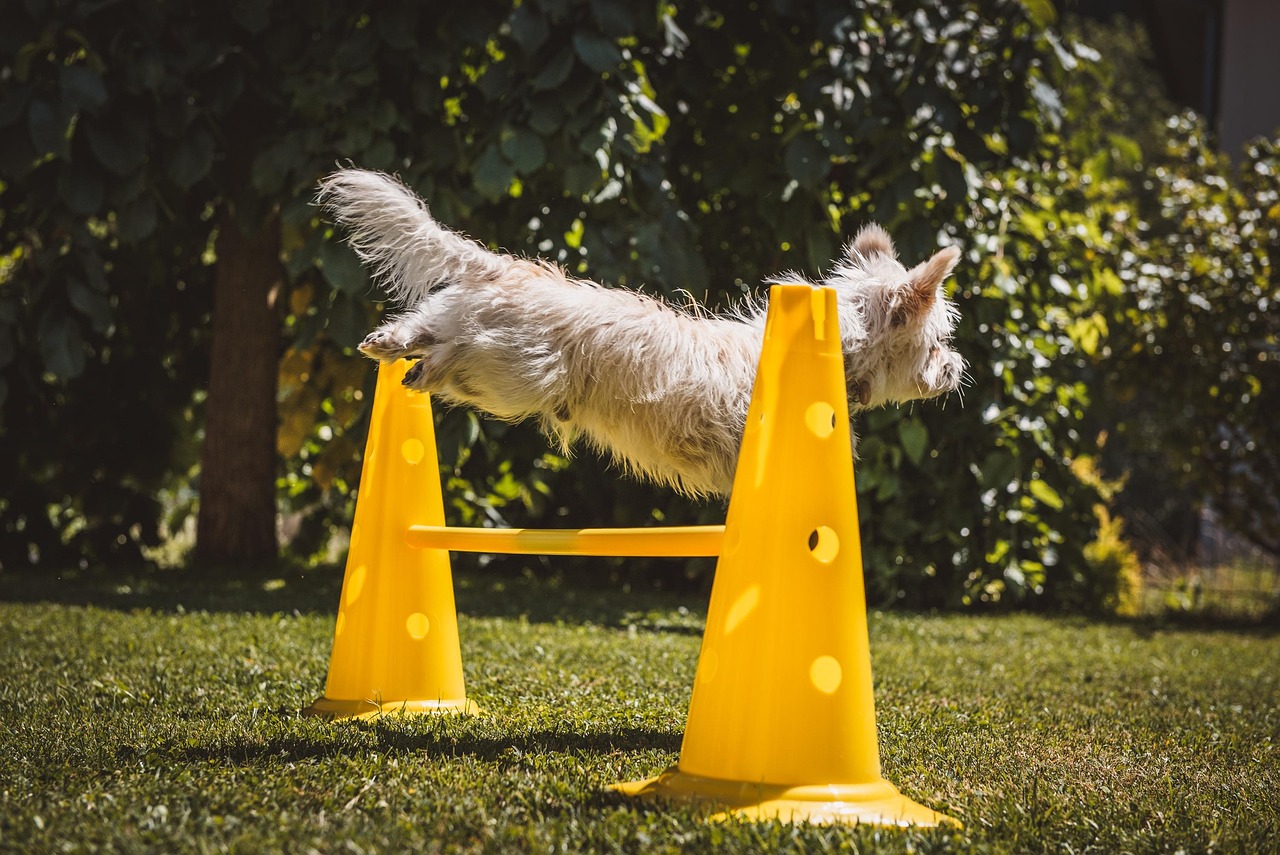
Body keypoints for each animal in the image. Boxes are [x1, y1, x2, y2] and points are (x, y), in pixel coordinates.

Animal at [317, 167, 962, 496]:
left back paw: (391, 345)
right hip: (514, 372)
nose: (956, 368)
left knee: (424, 326)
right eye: (936, 343)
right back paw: (422, 363)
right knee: (454, 350)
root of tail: (504, 269)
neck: (841, 346)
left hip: (475, 334)